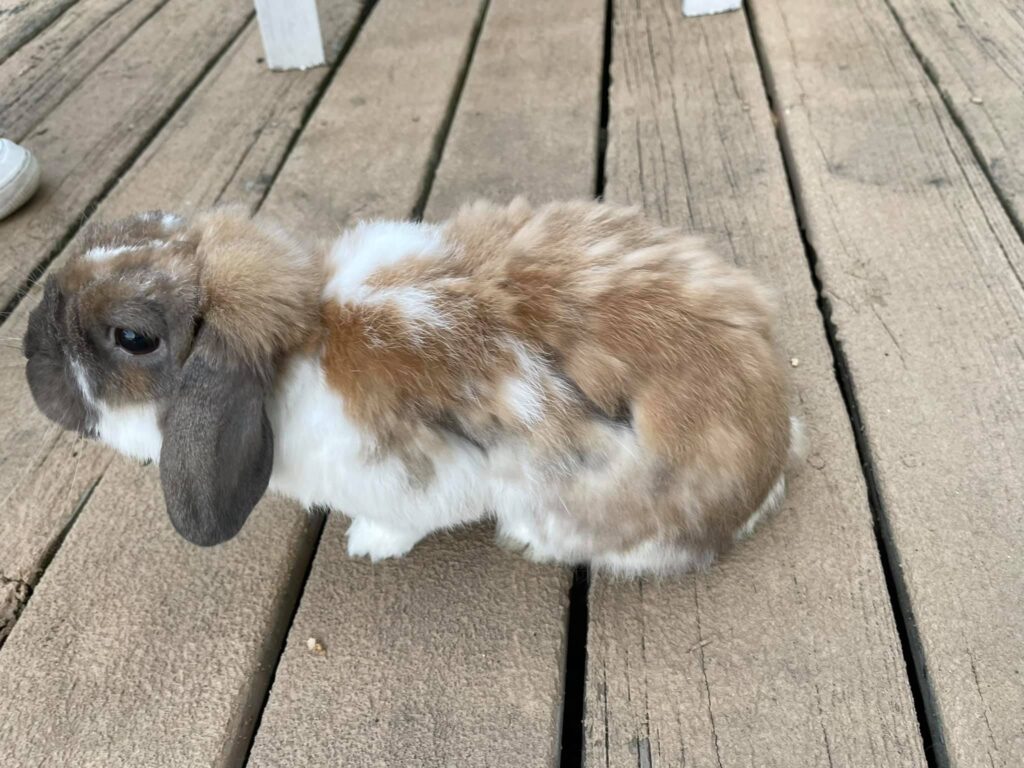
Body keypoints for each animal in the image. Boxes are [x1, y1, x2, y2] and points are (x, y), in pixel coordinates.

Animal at [22, 199, 803, 575]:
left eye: (132, 338)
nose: (29, 350)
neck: (303, 343)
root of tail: (769, 463)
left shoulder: (415, 479)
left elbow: (405, 519)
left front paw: (369, 546)